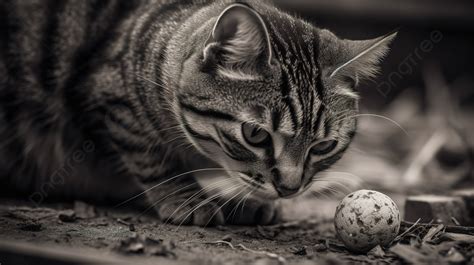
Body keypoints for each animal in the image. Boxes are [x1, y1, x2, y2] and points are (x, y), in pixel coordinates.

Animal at [0, 0, 396, 225]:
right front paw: (190, 199)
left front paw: (234, 202)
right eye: (256, 135)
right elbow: (151, 157)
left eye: (323, 146)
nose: (289, 188)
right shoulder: (110, 100)